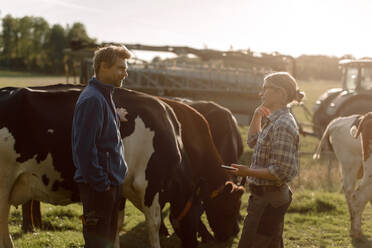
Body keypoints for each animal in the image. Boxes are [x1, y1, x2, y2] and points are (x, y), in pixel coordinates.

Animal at [0, 85, 205, 248]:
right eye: (199, 213)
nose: (195, 243)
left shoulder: (121, 189)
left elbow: (116, 225)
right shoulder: (150, 184)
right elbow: (153, 224)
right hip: (3, 187)